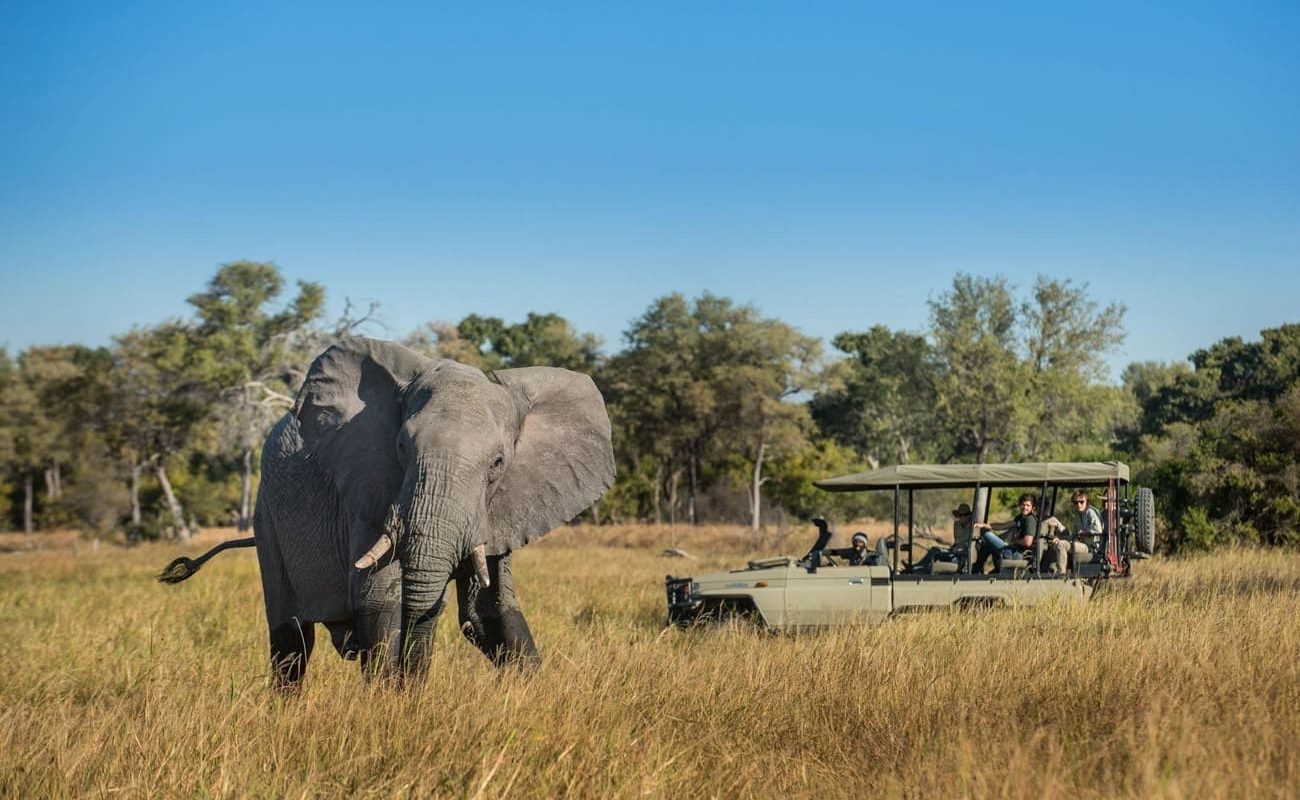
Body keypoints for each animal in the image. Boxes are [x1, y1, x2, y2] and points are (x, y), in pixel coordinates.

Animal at [159, 337, 615, 686]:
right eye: (401, 448)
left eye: (498, 464)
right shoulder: (366, 490)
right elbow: (380, 599)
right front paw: (389, 704)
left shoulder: (504, 505)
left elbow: (493, 609)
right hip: (267, 512)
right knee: (291, 640)